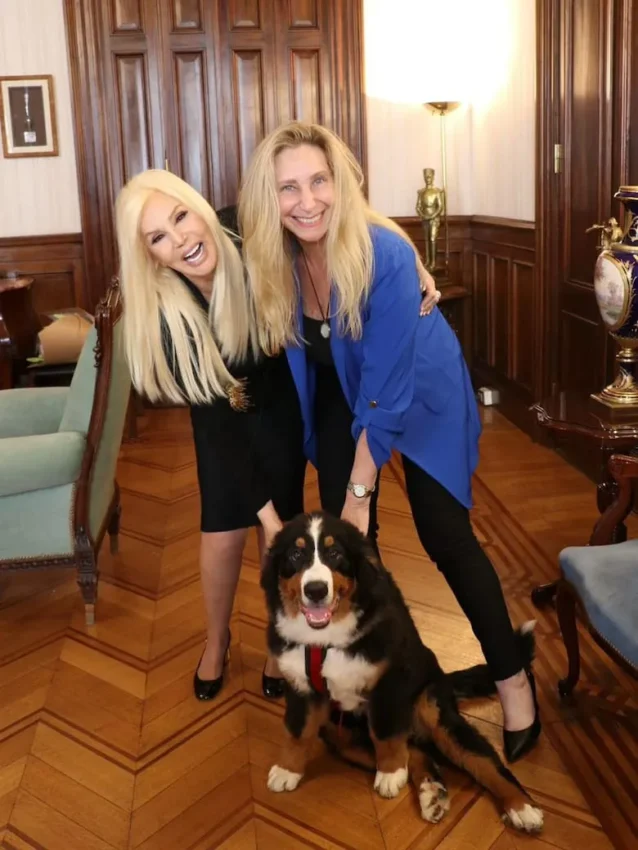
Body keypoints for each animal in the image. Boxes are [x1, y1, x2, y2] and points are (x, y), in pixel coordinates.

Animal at [260, 506, 544, 832]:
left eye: (334, 553)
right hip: (341, 734)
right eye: (296, 555)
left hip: (432, 709)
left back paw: (521, 806)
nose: (316, 590)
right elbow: (298, 732)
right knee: (417, 750)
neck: (325, 640)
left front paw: (390, 772)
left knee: (482, 759)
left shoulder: (391, 680)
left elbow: (385, 731)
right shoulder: (301, 685)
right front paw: (288, 770)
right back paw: (432, 792)